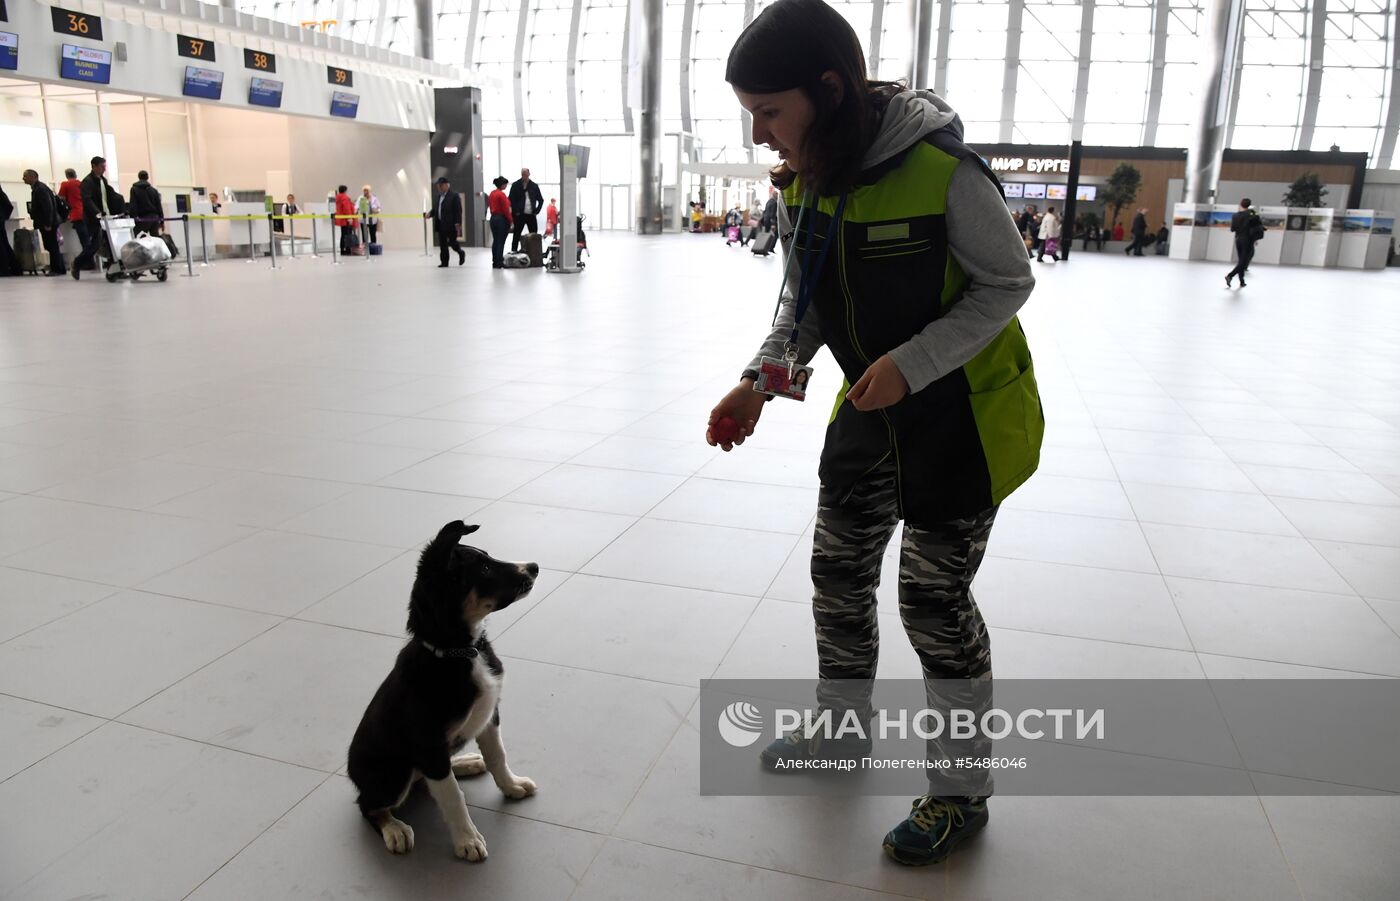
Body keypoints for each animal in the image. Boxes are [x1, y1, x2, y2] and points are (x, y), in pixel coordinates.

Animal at [347, 520, 537, 856]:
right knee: (369, 805)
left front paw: (512, 785)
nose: (535, 567)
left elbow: (497, 755)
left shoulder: (490, 715)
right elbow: (452, 796)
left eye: (488, 557)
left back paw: (465, 762)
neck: (460, 651)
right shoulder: (428, 742)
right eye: (484, 569)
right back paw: (394, 828)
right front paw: (468, 841)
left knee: (427, 778)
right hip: (393, 773)